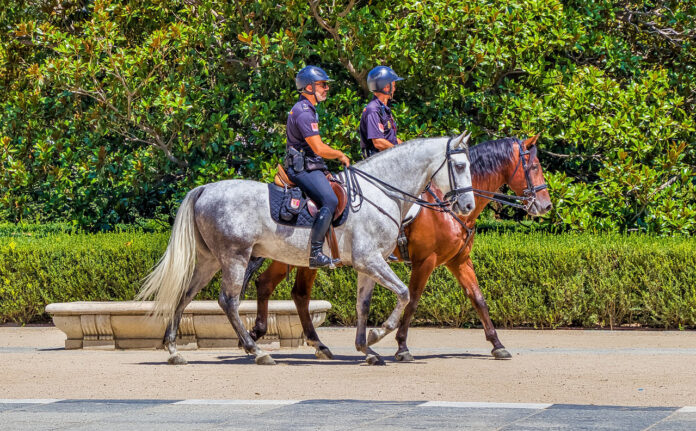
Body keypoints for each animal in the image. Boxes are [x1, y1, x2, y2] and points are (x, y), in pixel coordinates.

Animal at [136, 133, 476, 366]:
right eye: (460, 165)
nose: (468, 206)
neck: (381, 192)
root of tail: (206, 188)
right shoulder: (371, 260)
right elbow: (405, 293)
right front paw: (379, 335)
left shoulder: (369, 265)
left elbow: (363, 305)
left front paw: (366, 348)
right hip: (235, 257)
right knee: (228, 301)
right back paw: (257, 351)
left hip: (210, 261)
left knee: (185, 295)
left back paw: (174, 350)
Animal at [242, 135, 552, 362]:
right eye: (534, 167)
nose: (546, 206)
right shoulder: (426, 260)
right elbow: (412, 299)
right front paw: (400, 346)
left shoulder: (459, 260)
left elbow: (478, 298)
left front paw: (497, 343)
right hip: (294, 257)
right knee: (279, 288)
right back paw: (262, 336)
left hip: (300, 259)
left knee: (287, 290)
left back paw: (296, 341)